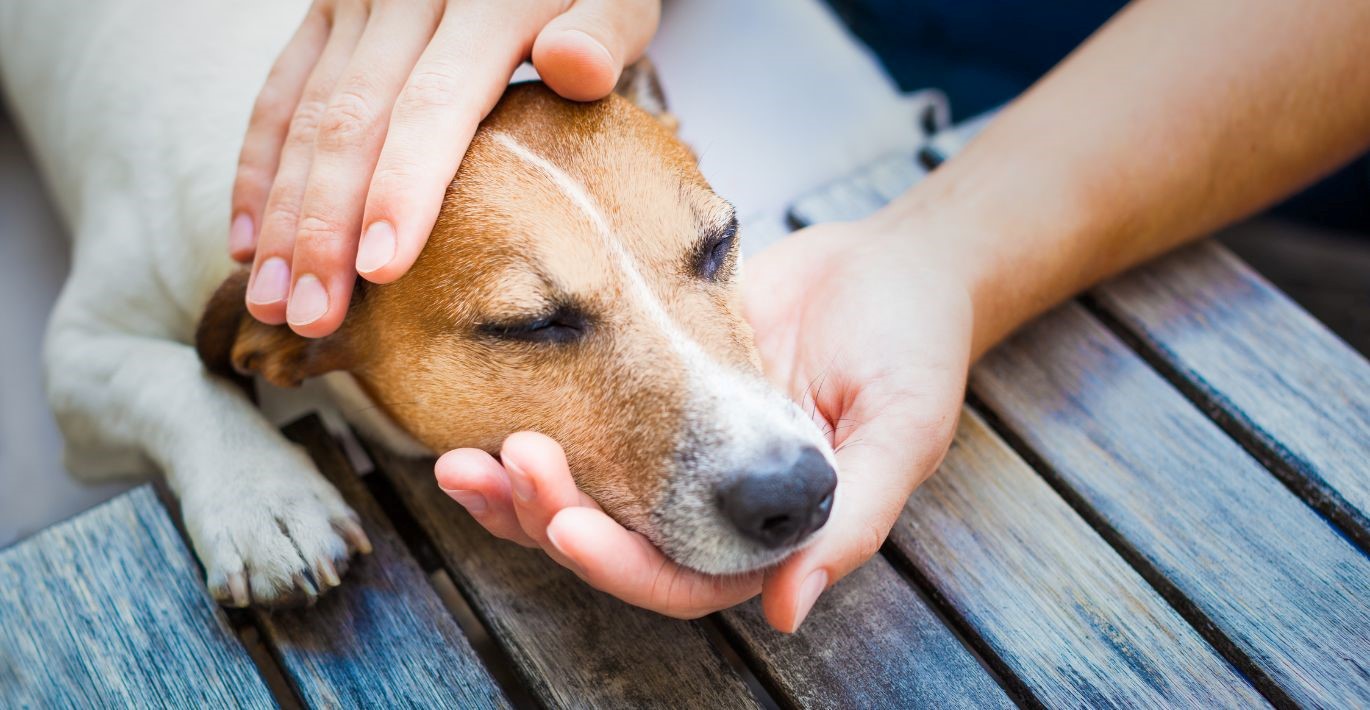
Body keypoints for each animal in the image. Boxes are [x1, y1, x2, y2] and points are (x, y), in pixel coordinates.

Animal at [2, 2, 832, 608]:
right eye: (530, 326)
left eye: (720, 243)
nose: (797, 490)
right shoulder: (77, 353)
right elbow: (174, 377)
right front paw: (262, 499)